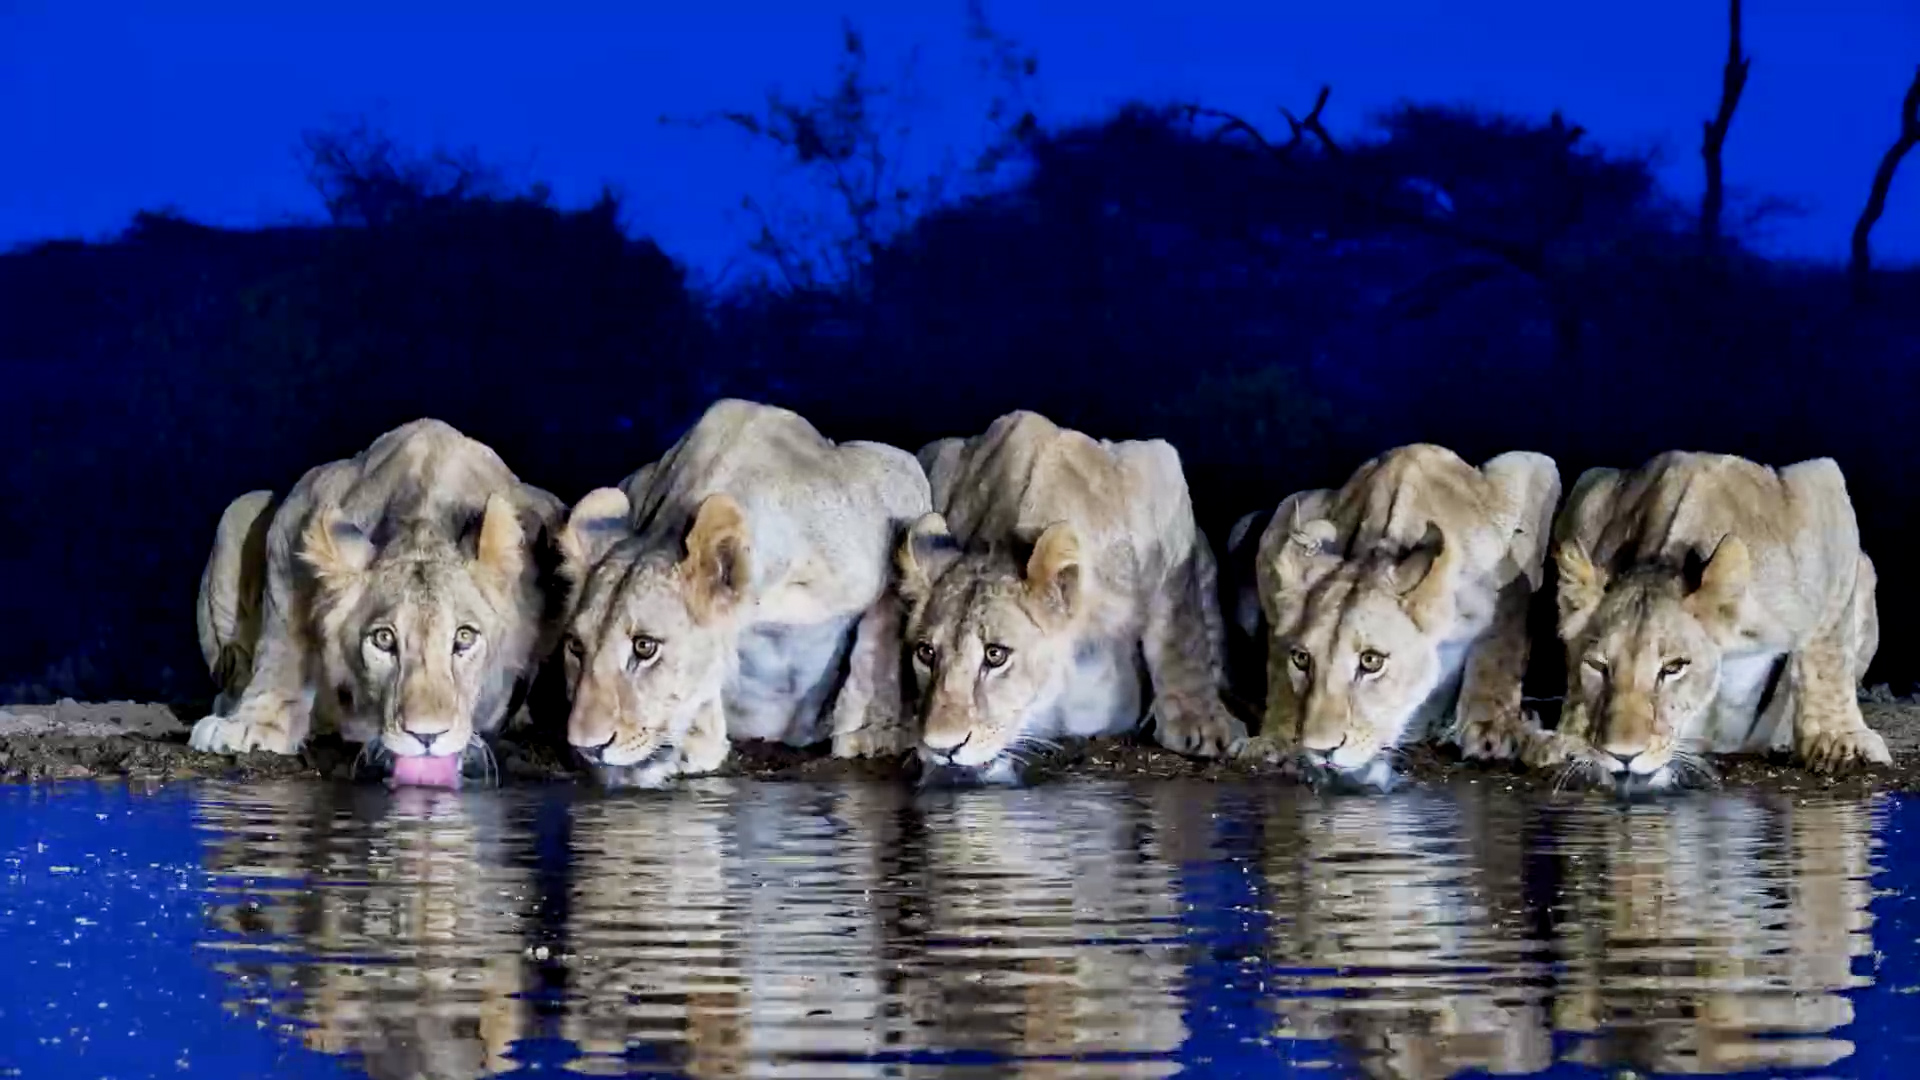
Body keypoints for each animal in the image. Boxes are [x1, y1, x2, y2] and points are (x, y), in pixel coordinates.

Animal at [188, 419, 567, 789]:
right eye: (383, 639)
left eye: (464, 637)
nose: (426, 736)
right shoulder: (294, 519)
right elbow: (282, 641)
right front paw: (251, 723)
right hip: (239, 509)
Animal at [555, 398, 930, 788]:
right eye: (575, 647)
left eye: (645, 647)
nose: (585, 748)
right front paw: (695, 743)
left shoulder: (898, 481)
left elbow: (878, 636)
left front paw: (873, 731)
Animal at [893, 410, 1247, 785]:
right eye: (926, 653)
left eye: (995, 655)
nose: (942, 747)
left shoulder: (1158, 473)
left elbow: (1181, 628)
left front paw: (1203, 725)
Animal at [1240, 443, 1562, 791]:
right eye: (1301, 659)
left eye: (1371, 661)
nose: (1319, 749)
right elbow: (1278, 664)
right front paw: (1277, 738)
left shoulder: (1514, 547)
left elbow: (1504, 637)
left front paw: (1492, 729)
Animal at [1540, 451, 1890, 791]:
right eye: (1597, 666)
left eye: (1674, 667)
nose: (1623, 755)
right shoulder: (1588, 497)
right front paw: (1571, 739)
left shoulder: (1819, 488)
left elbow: (1828, 651)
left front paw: (1840, 741)